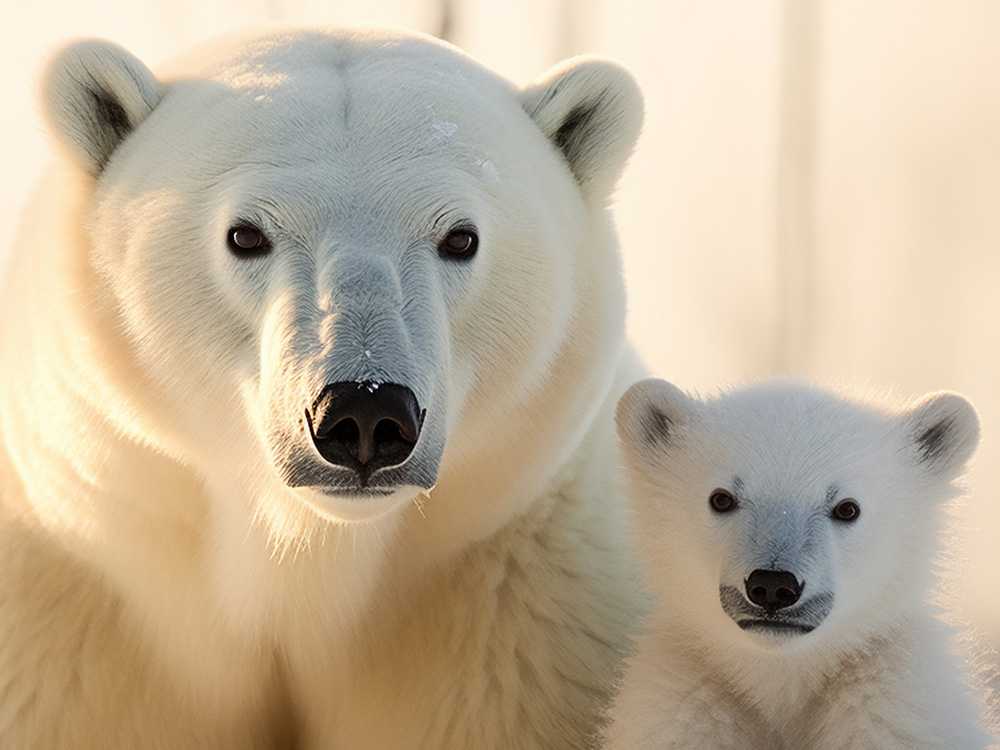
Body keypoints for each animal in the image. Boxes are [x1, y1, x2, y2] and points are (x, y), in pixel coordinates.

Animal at [0, 26, 644, 748]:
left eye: (460, 237)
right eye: (245, 234)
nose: (364, 413)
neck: (310, 564)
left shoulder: (517, 622)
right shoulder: (74, 625)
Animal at [604, 382, 996, 750]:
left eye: (847, 508)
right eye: (721, 498)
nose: (773, 585)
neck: (783, 678)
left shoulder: (893, 699)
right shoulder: (686, 702)